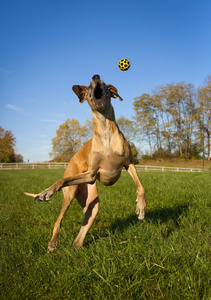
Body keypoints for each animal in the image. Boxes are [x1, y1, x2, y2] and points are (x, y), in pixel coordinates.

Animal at [23, 74, 145, 252]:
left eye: (104, 83)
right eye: (88, 86)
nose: (96, 76)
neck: (105, 131)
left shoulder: (128, 164)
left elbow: (140, 188)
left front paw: (141, 208)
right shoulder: (91, 173)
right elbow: (61, 180)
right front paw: (47, 191)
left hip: (92, 203)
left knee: (80, 236)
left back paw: (79, 248)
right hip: (71, 192)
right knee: (58, 220)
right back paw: (53, 243)